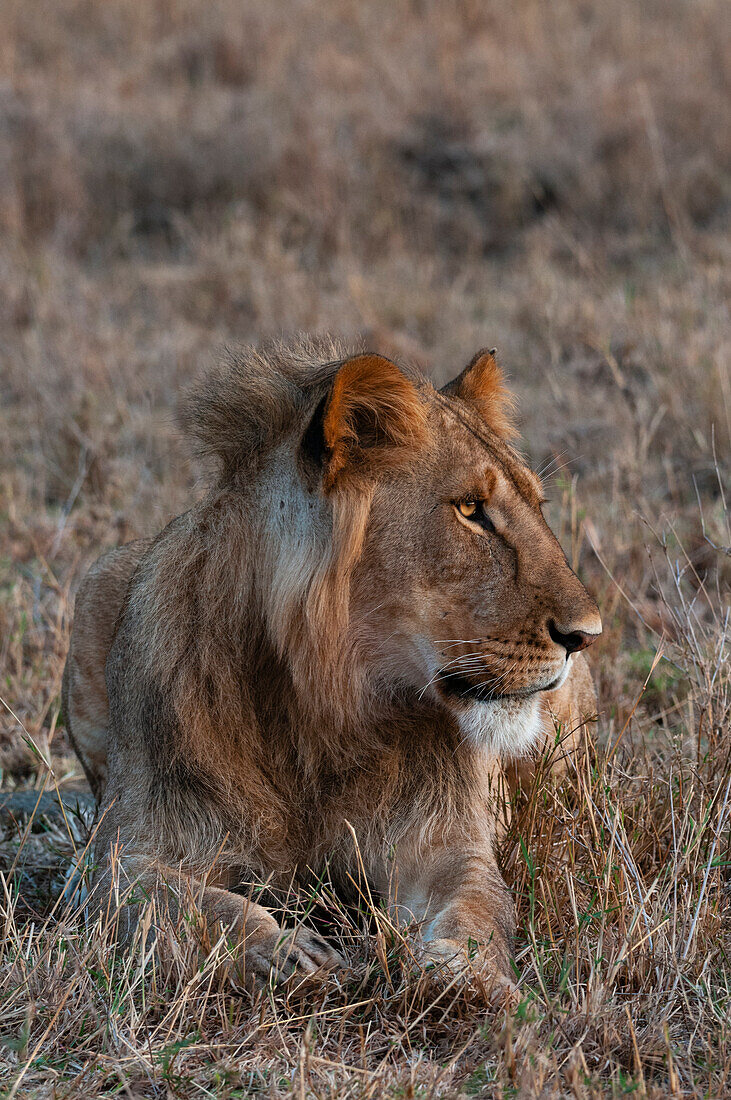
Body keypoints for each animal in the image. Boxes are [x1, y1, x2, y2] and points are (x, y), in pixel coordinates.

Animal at [61, 336, 597, 998]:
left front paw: (458, 970)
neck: (320, 710)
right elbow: (190, 903)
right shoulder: (126, 853)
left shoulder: (446, 842)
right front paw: (287, 954)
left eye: (537, 506)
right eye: (471, 508)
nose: (587, 634)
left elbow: (477, 906)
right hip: (97, 578)